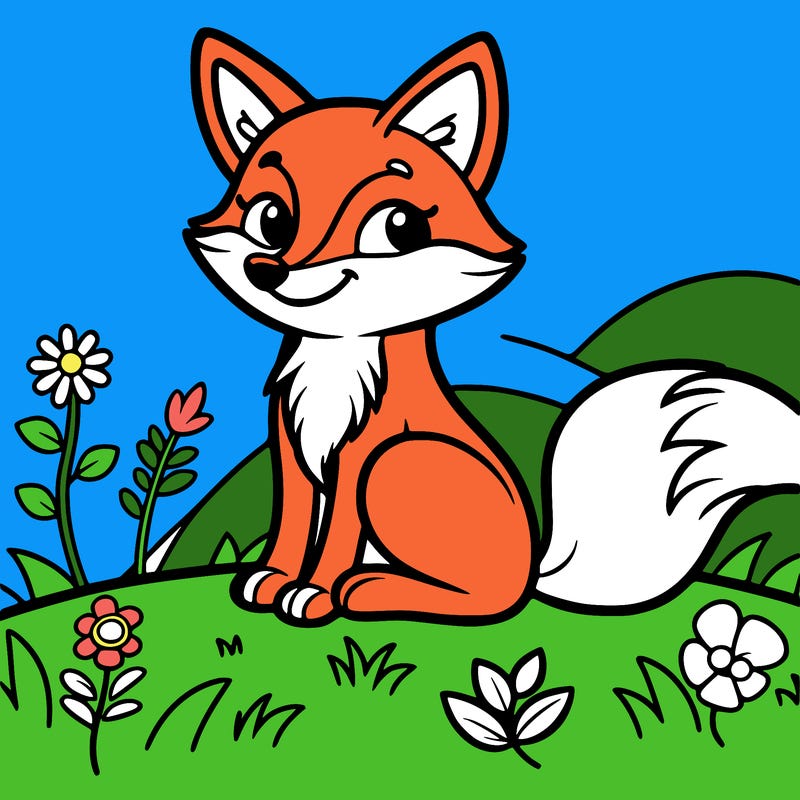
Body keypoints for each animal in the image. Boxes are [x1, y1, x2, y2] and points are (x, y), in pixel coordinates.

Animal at [184, 29, 800, 625]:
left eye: (398, 226)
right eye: (270, 218)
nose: (270, 269)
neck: (336, 360)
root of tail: (533, 570)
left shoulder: (359, 454)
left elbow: (335, 534)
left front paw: (311, 592)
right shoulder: (289, 448)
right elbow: (290, 525)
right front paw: (272, 580)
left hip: (399, 464)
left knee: (483, 600)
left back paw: (368, 590)